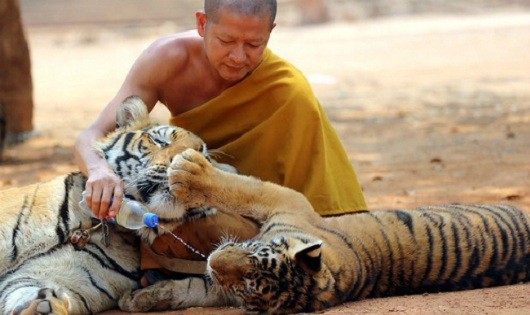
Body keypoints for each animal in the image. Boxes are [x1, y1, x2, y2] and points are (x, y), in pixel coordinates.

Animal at [0, 96, 239, 315]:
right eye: (160, 141)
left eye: (204, 158)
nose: (184, 161)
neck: (96, 224)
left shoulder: (60, 276)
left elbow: (25, 291)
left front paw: (42, 307)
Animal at [118, 149, 528, 315]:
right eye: (253, 255)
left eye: (249, 284)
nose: (215, 262)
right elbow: (187, 288)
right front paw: (139, 299)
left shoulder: (286, 201)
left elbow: (240, 188)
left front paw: (189, 171)